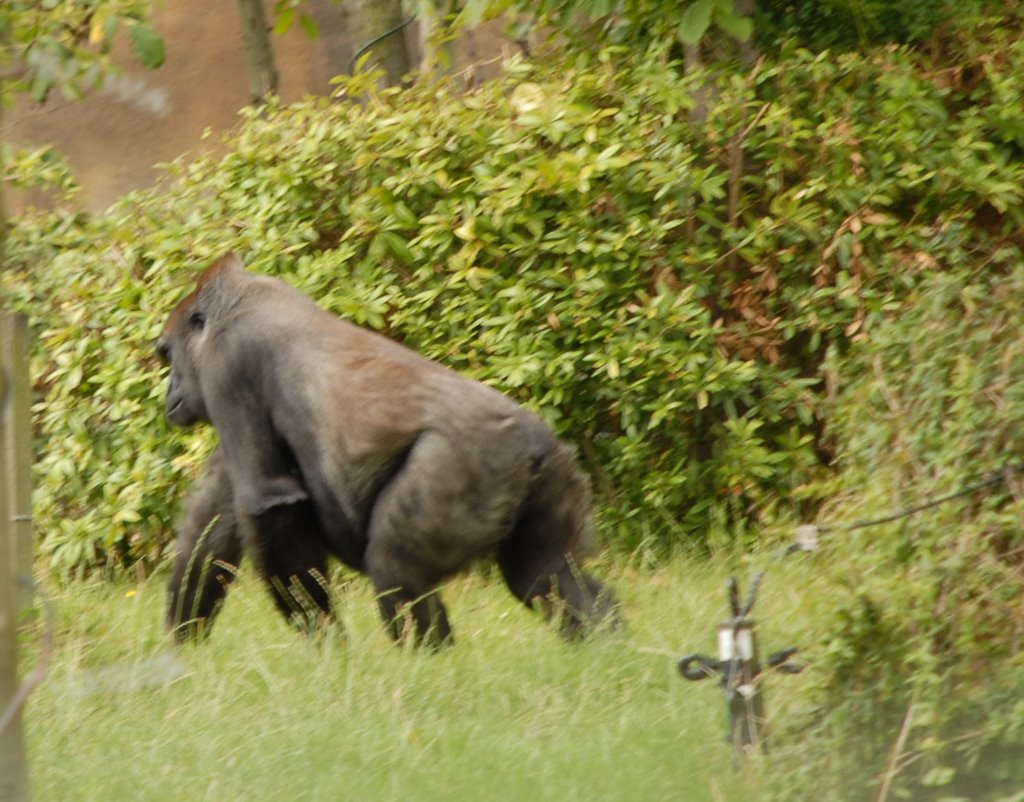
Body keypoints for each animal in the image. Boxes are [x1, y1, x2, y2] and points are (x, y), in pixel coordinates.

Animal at [159, 254, 614, 647]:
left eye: (167, 355)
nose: (170, 390)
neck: (238, 300)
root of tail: (531, 444)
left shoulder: (227, 363)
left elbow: (269, 500)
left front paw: (328, 647)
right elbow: (218, 516)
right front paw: (183, 646)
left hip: (473, 466)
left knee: (395, 566)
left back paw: (427, 665)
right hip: (554, 473)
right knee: (544, 573)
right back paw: (608, 646)